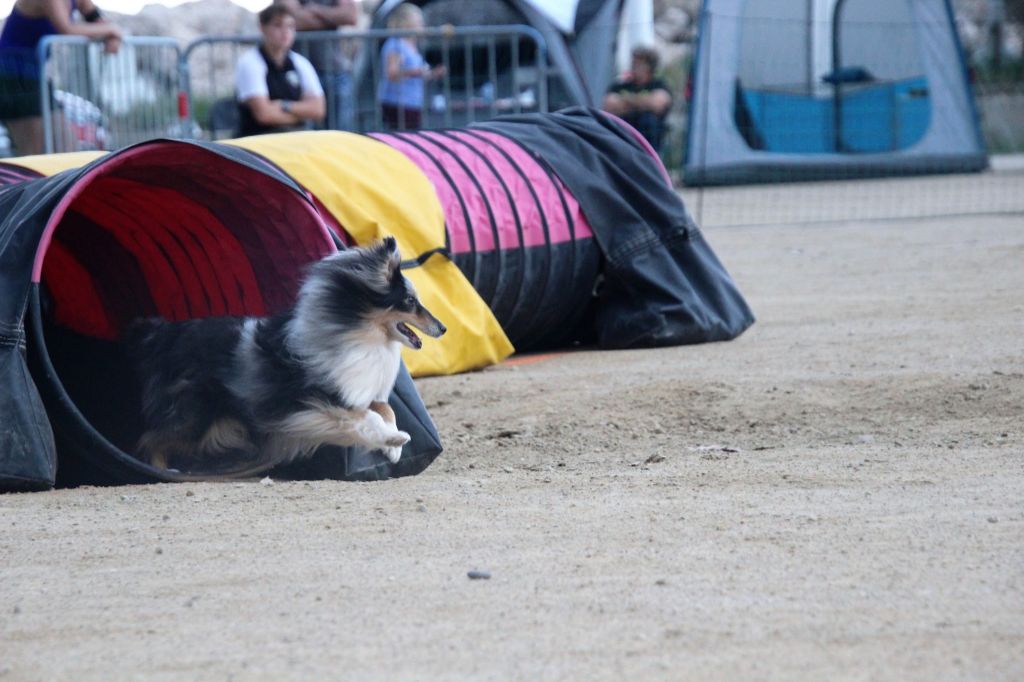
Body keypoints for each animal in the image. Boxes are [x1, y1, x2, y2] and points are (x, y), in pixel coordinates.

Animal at [122, 236, 444, 475]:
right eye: (410, 301)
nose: (443, 327)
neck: (357, 333)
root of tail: (162, 333)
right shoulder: (307, 401)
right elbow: (367, 417)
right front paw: (395, 438)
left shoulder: (352, 391)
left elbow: (385, 409)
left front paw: (394, 447)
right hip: (195, 414)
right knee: (150, 438)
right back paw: (161, 471)